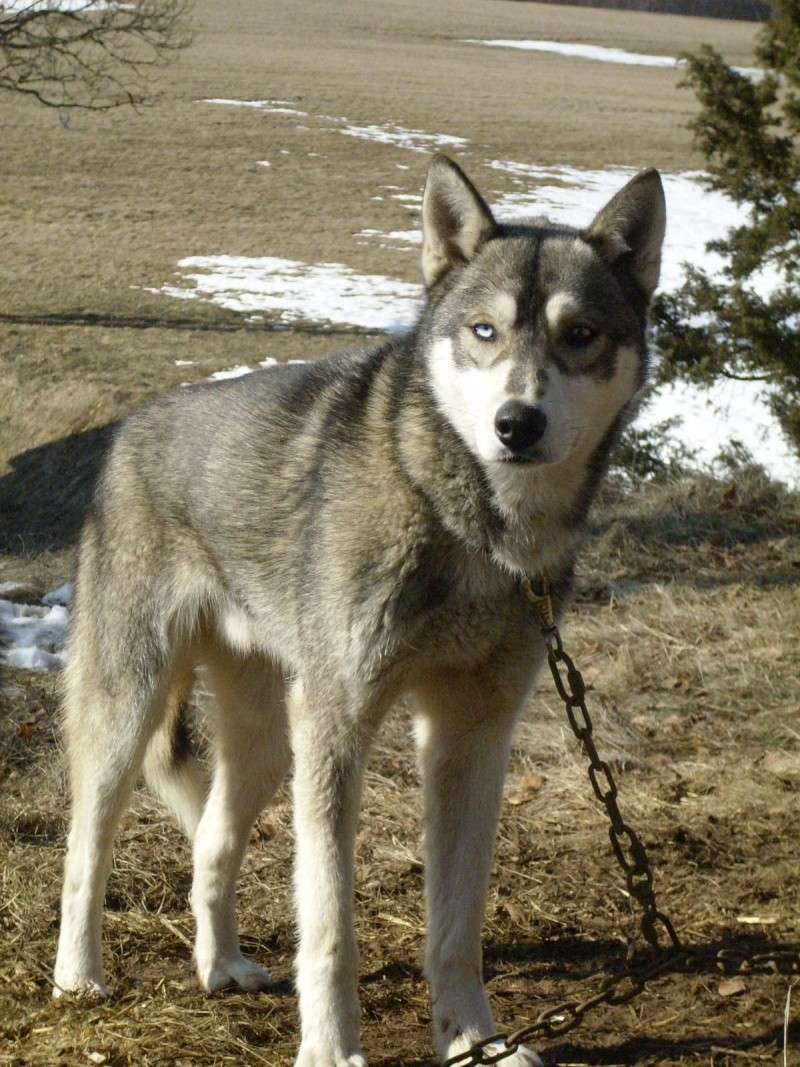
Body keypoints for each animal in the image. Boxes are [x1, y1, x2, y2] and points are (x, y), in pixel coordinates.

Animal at [54, 154, 665, 1062]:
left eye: (580, 334)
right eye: (484, 331)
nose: (516, 423)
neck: (474, 529)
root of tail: (131, 427)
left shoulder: (471, 736)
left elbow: (456, 926)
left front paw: (474, 1040)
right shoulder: (338, 723)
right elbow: (330, 925)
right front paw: (332, 1050)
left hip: (270, 739)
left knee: (212, 845)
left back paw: (223, 966)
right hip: (136, 715)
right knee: (85, 850)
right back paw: (79, 976)